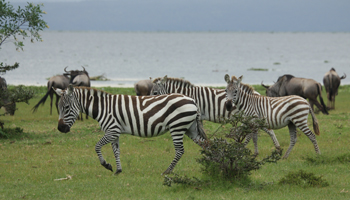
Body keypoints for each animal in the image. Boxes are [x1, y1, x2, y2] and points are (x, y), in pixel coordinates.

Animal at [53, 85, 206, 175]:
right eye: (58, 107)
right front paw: (118, 170)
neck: (103, 108)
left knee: (180, 150)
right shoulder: (115, 133)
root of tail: (192, 100)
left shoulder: (112, 130)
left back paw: (167, 171)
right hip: (190, 128)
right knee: (205, 144)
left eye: (66, 107)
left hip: (177, 127)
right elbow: (116, 151)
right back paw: (210, 164)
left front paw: (106, 165)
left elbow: (97, 147)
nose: (60, 129)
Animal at [149, 75, 280, 155]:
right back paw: (277, 147)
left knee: (253, 132)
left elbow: (201, 132)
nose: (151, 105)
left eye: (155, 93)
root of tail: (256, 93)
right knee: (268, 130)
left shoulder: (197, 114)